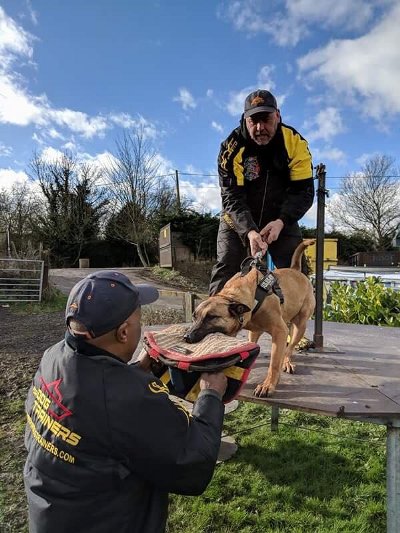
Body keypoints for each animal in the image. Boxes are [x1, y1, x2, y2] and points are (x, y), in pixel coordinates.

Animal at [184, 239, 316, 396]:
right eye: (194, 316)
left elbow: (274, 363)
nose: (187, 337)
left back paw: (287, 361)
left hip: (299, 325)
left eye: (211, 317)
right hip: (259, 331)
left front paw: (268, 385)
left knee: (289, 349)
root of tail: (295, 270)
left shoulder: (279, 331)